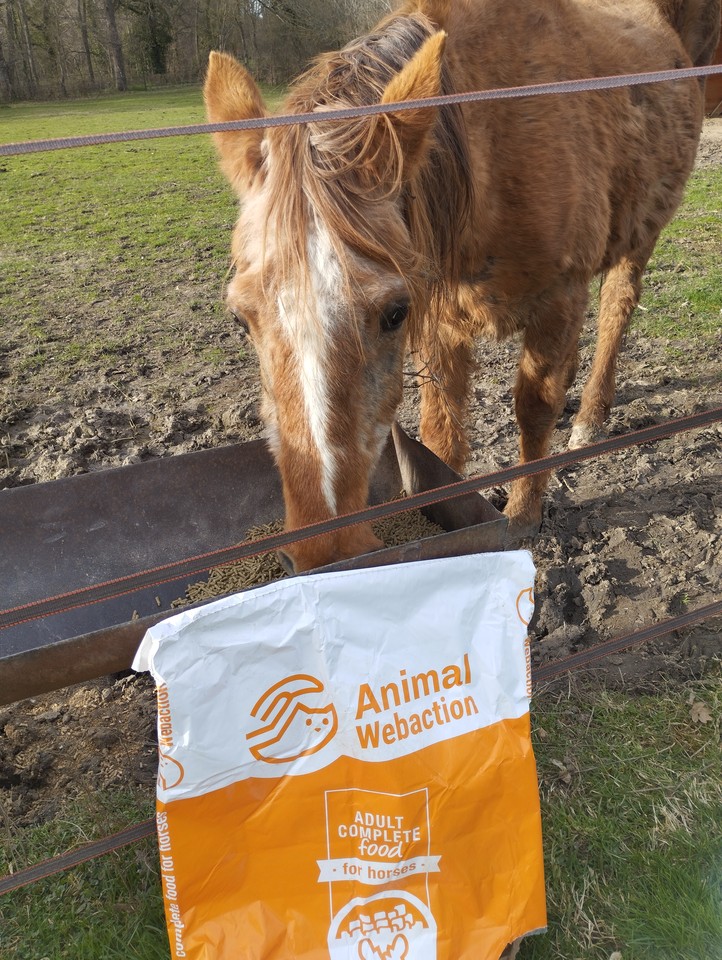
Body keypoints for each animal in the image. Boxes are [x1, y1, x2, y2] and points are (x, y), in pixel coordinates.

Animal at [204, 0, 720, 574]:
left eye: (394, 313)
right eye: (240, 317)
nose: (323, 547)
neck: (492, 137)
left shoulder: (559, 298)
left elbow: (534, 409)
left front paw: (522, 514)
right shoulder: (444, 316)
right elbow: (440, 431)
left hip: (640, 235)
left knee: (616, 311)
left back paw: (590, 416)